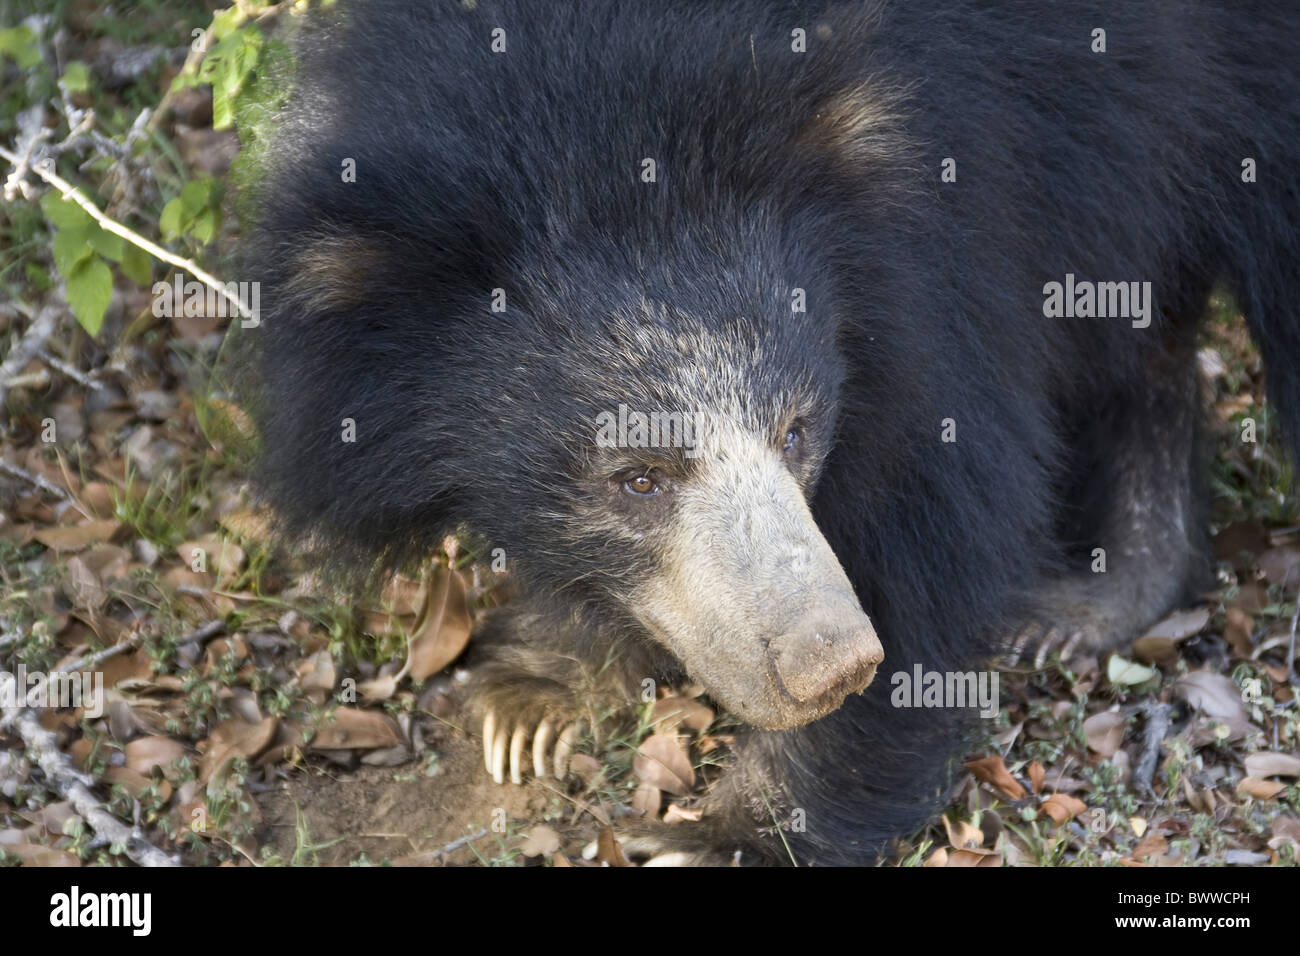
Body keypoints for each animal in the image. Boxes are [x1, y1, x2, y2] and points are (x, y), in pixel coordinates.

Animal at [242, 0, 1300, 865]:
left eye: (796, 432)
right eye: (637, 478)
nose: (833, 662)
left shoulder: (940, 240)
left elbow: (927, 513)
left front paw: (722, 837)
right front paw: (533, 700)